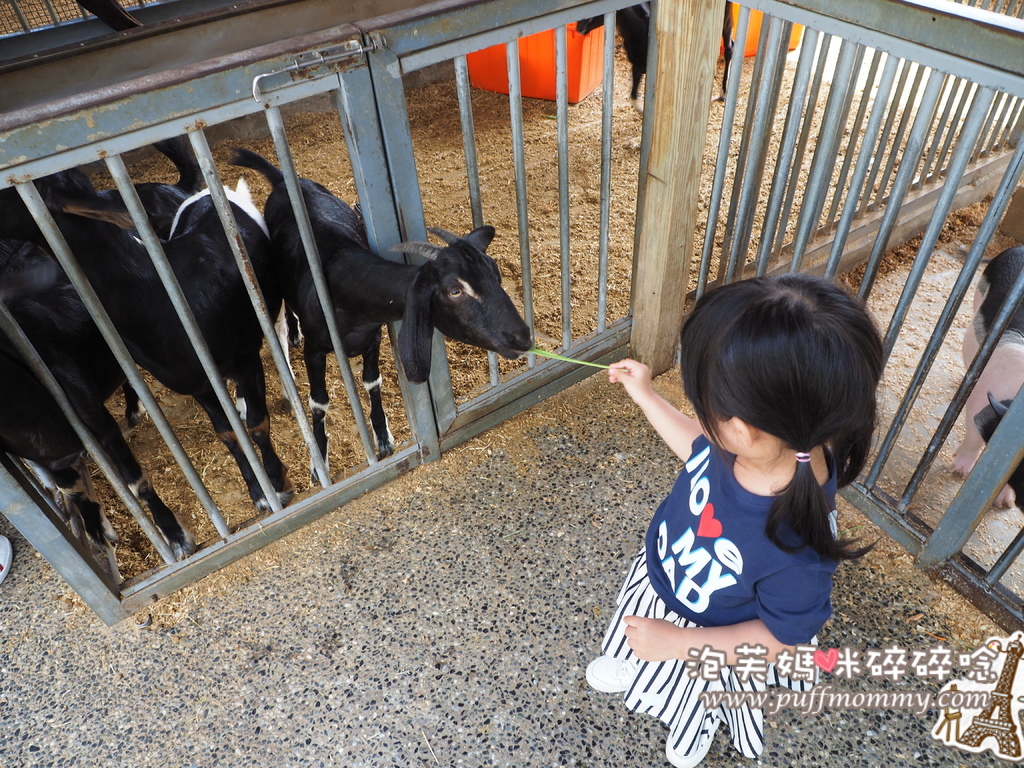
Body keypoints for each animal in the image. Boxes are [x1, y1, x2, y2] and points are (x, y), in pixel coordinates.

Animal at [1, 166, 296, 528]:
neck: (164, 294)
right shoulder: (198, 383)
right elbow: (228, 433)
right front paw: (259, 492)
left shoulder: (244, 360)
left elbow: (256, 424)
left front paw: (278, 484)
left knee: (278, 327)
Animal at [229, 148, 532, 475]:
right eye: (455, 290)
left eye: (496, 273)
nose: (522, 337)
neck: (340, 275)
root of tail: (283, 178)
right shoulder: (316, 349)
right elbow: (318, 403)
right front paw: (319, 460)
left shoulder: (372, 336)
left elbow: (373, 382)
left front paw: (384, 438)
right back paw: (293, 332)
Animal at [577, 0, 737, 109]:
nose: (579, 27)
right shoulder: (637, 63)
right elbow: (633, 94)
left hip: (726, 20)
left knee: (730, 47)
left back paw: (723, 92)